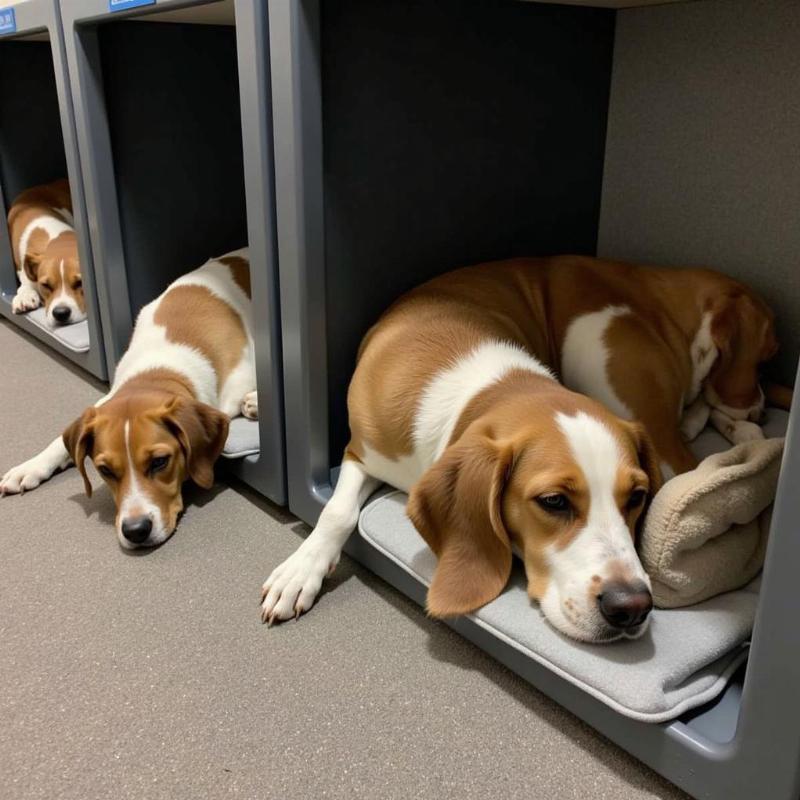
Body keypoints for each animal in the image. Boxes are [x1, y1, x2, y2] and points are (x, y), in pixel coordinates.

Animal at [0, 248, 256, 552]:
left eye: (159, 462)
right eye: (105, 470)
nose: (136, 531)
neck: (159, 368)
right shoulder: (103, 402)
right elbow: (59, 442)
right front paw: (31, 467)